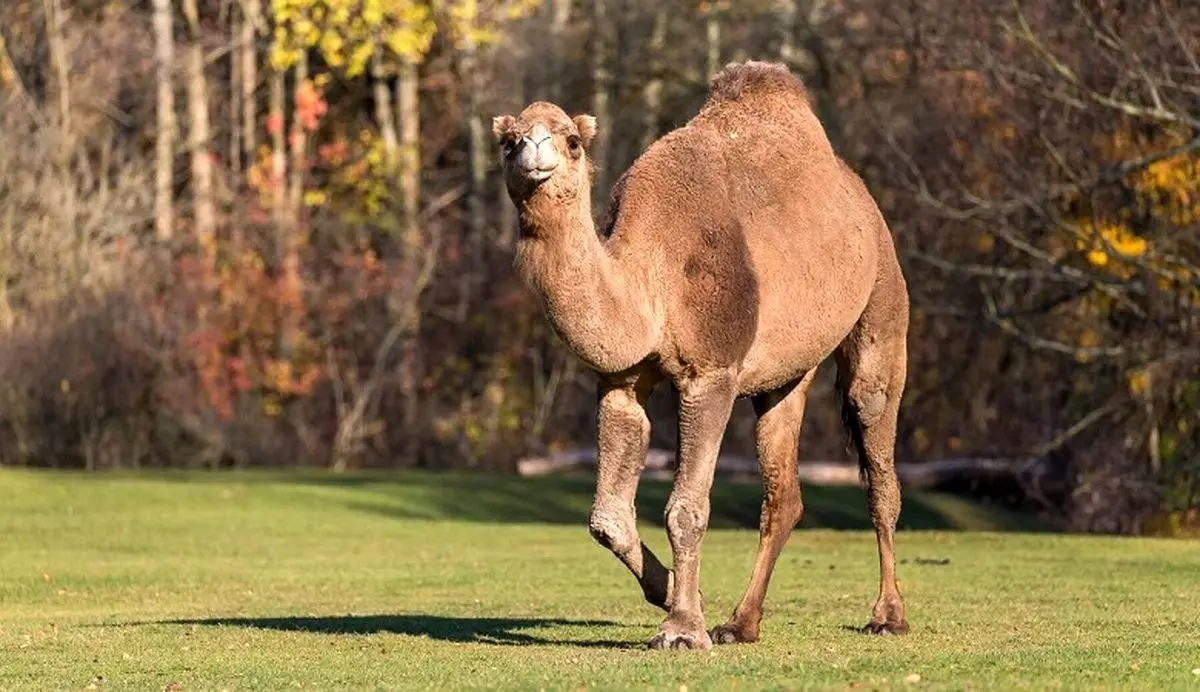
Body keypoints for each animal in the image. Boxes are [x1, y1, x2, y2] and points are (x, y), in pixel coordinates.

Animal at [492, 59, 902, 647]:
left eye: (570, 140)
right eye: (508, 141)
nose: (534, 153)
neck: (649, 277)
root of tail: (860, 196)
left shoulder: (711, 372)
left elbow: (686, 508)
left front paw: (682, 629)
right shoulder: (622, 382)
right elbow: (608, 517)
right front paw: (685, 600)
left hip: (883, 293)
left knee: (876, 446)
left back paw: (888, 615)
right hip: (783, 375)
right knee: (783, 489)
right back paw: (742, 623)